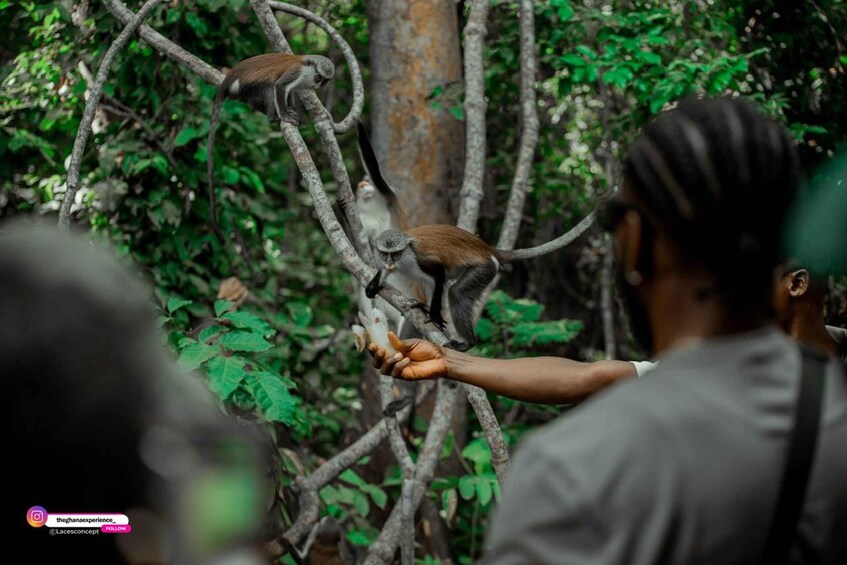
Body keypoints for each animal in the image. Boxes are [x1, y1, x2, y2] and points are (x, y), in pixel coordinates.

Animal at [207, 54, 336, 240]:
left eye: (324, 81)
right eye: (318, 78)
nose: (318, 86)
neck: (307, 67)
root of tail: (230, 77)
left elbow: (290, 93)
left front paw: (291, 110)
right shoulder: (295, 73)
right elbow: (280, 86)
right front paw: (286, 115)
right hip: (247, 86)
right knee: (269, 87)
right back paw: (273, 117)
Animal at [366, 218, 596, 350]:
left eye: (396, 254)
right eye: (385, 254)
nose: (390, 262)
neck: (407, 252)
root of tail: (488, 249)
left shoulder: (422, 261)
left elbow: (439, 274)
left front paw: (435, 317)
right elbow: (383, 275)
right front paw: (373, 285)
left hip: (484, 269)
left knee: (456, 293)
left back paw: (469, 343)